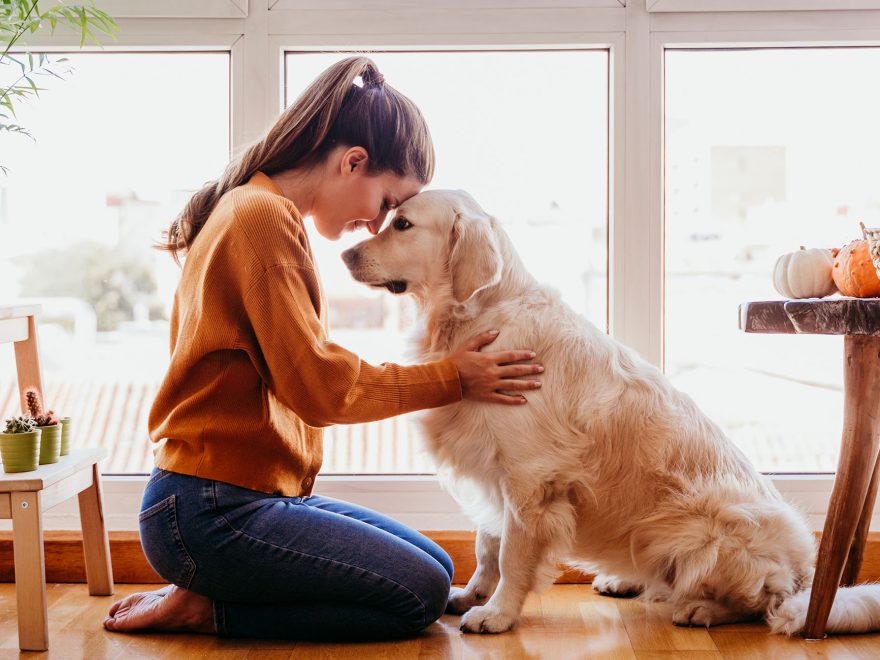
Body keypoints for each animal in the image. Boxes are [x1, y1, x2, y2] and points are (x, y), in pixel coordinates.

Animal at [340, 189, 880, 636]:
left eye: (403, 224)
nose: (344, 253)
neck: (478, 316)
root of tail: (805, 573)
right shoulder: (493, 470)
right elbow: (486, 545)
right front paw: (473, 594)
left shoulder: (529, 478)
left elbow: (511, 554)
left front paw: (497, 613)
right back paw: (625, 582)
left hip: (705, 527)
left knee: (761, 600)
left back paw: (701, 608)